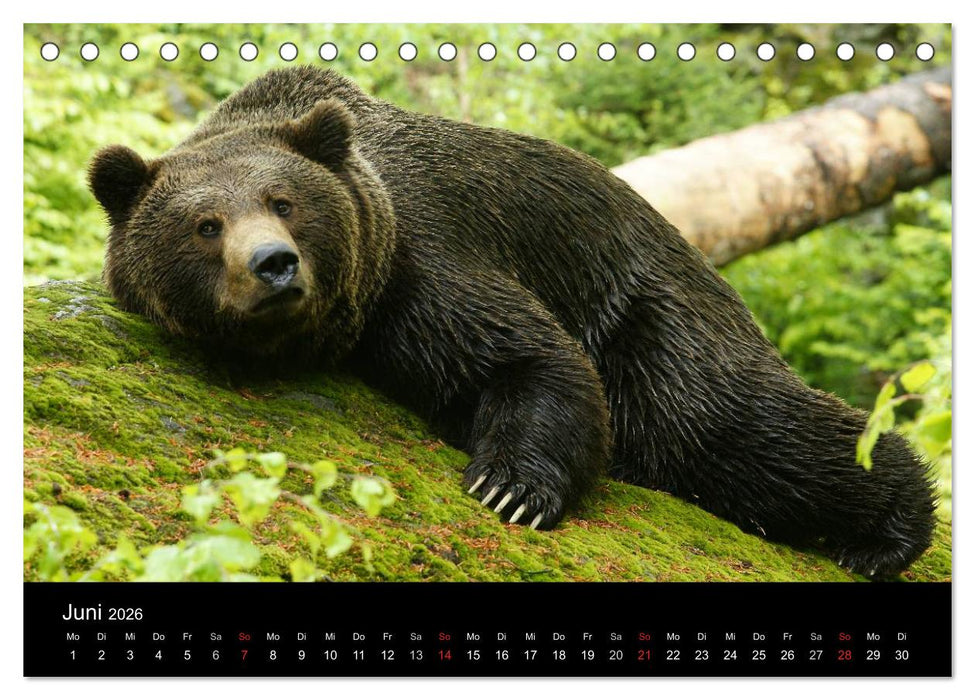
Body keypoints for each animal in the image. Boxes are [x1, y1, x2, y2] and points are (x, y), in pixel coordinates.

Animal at [88, 66, 936, 577]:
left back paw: (884, 530)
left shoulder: (427, 256)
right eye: (204, 224)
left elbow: (528, 358)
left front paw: (509, 488)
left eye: (284, 201)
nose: (274, 265)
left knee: (738, 428)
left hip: (652, 317)